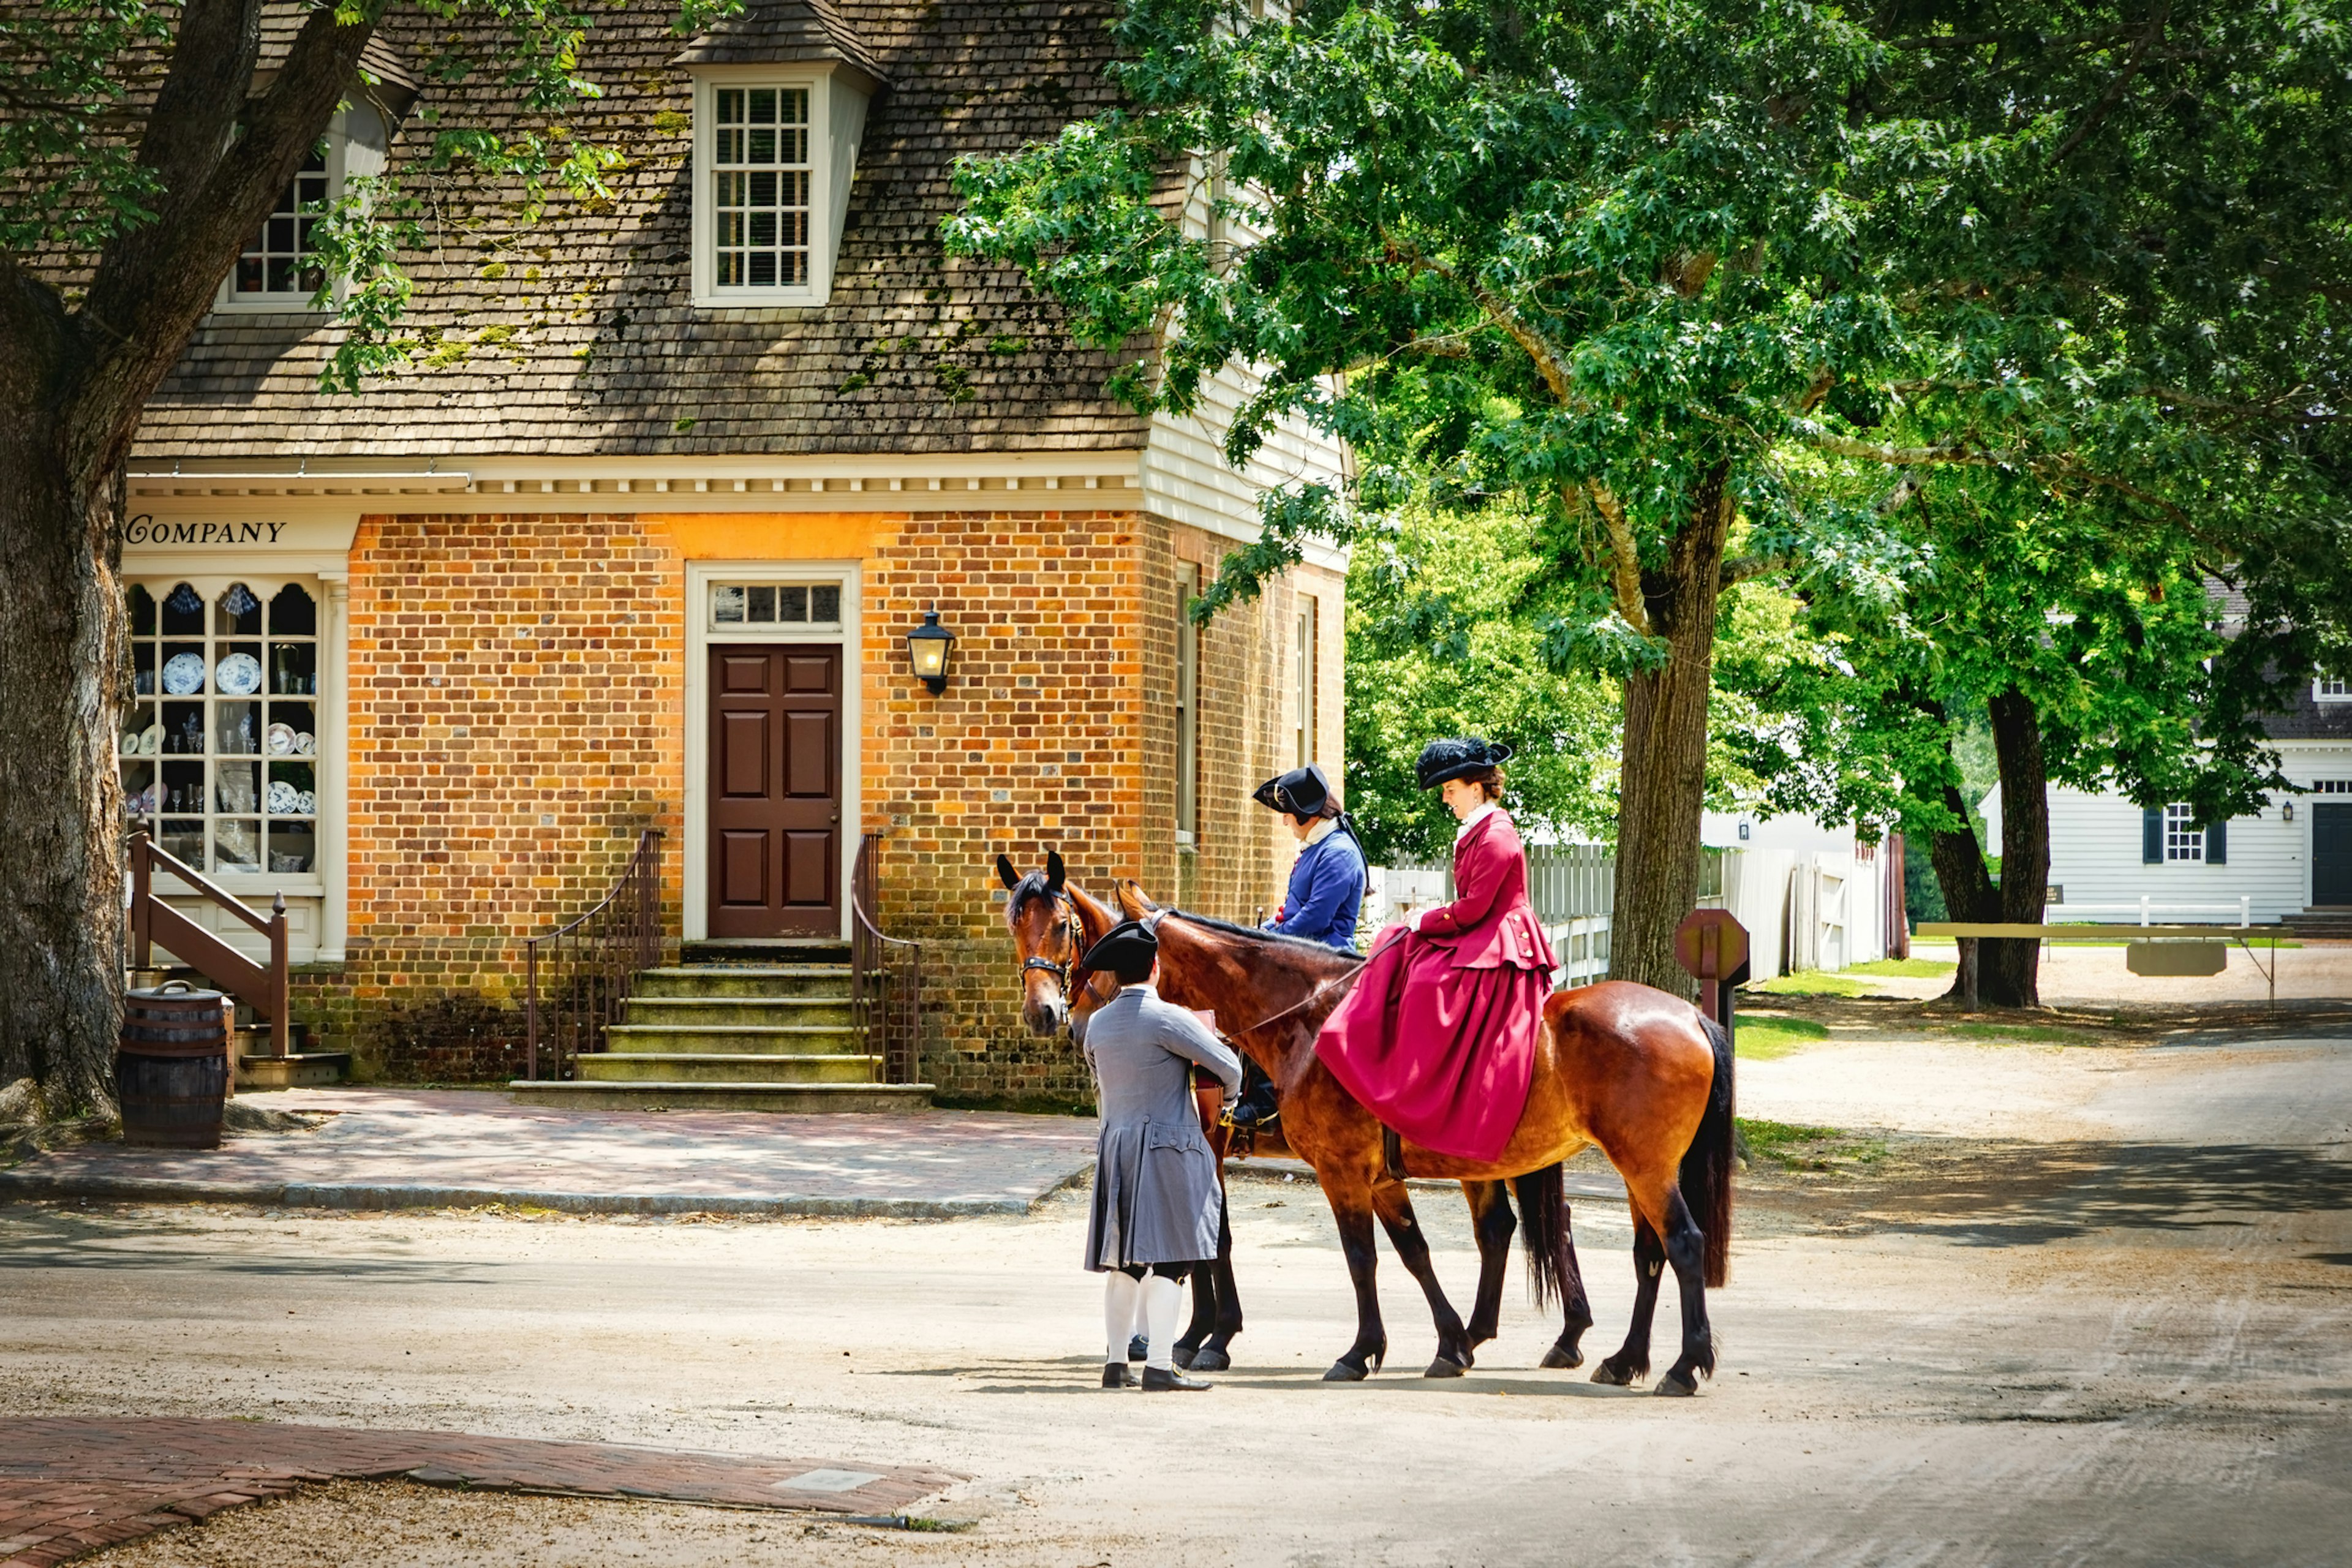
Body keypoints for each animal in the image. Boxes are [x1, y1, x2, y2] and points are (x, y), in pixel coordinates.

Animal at [1119, 884, 1731, 1401]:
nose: (1098, 1027)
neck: (1312, 1018)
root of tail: (1691, 1016)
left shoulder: (1336, 1171)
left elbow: (1355, 1257)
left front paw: (1349, 1351)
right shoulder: (1378, 1178)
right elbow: (1413, 1252)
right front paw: (1450, 1344)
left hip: (1643, 1168)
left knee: (1680, 1243)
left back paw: (1681, 1365)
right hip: (1628, 1170)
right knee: (1636, 1252)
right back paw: (1619, 1358)